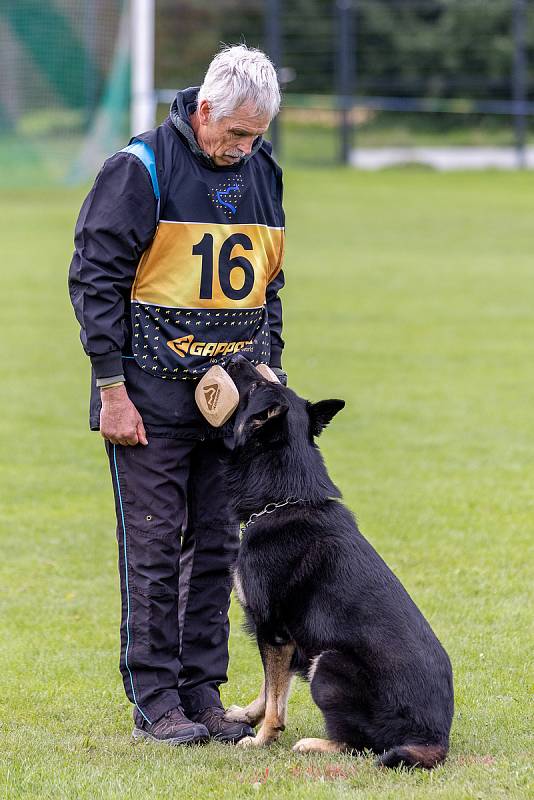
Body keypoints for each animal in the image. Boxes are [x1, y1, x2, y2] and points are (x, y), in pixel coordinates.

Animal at [224, 356, 454, 768]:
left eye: (254, 386)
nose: (235, 357)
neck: (285, 497)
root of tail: (434, 738)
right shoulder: (279, 637)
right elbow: (270, 690)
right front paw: (247, 716)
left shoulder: (274, 632)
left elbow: (276, 701)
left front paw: (262, 738)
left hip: (328, 664)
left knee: (362, 746)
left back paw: (314, 744)